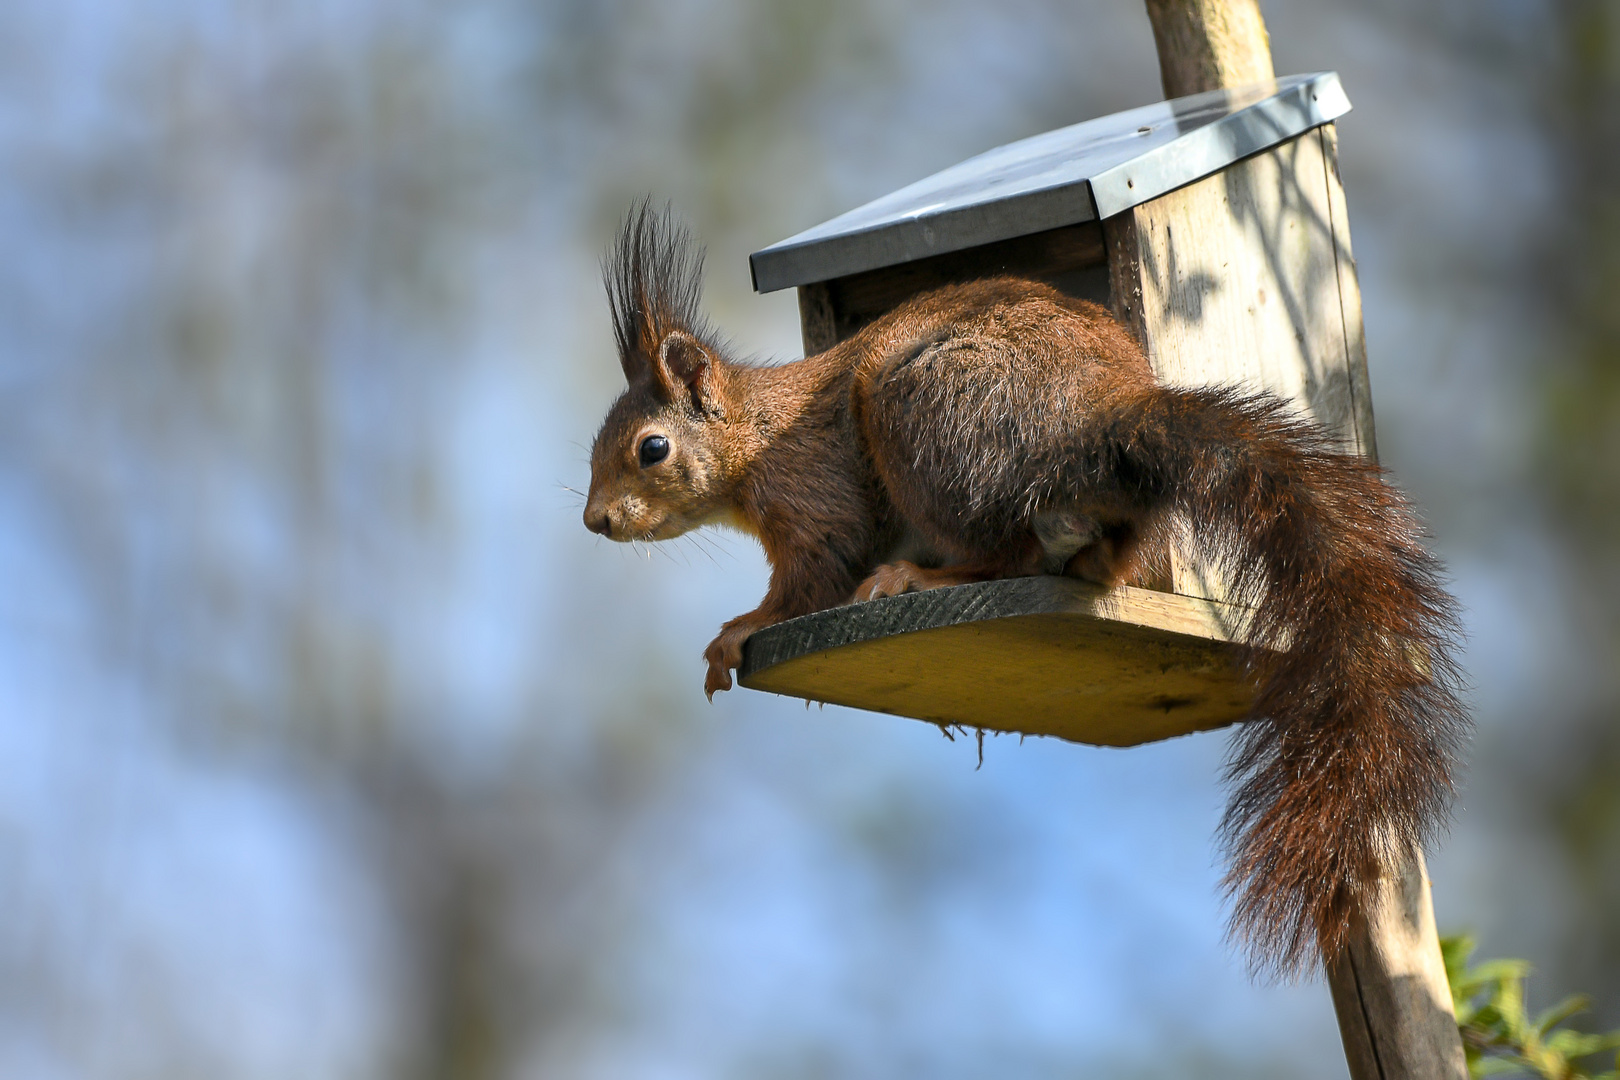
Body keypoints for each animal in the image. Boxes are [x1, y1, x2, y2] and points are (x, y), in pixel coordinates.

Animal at [579, 204, 1470, 977]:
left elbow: (812, 577)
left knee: (1003, 550)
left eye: (652, 448)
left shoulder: (813, 493)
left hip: (921, 416)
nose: (595, 521)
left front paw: (737, 631)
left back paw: (919, 574)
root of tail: (1099, 420)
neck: (755, 437)